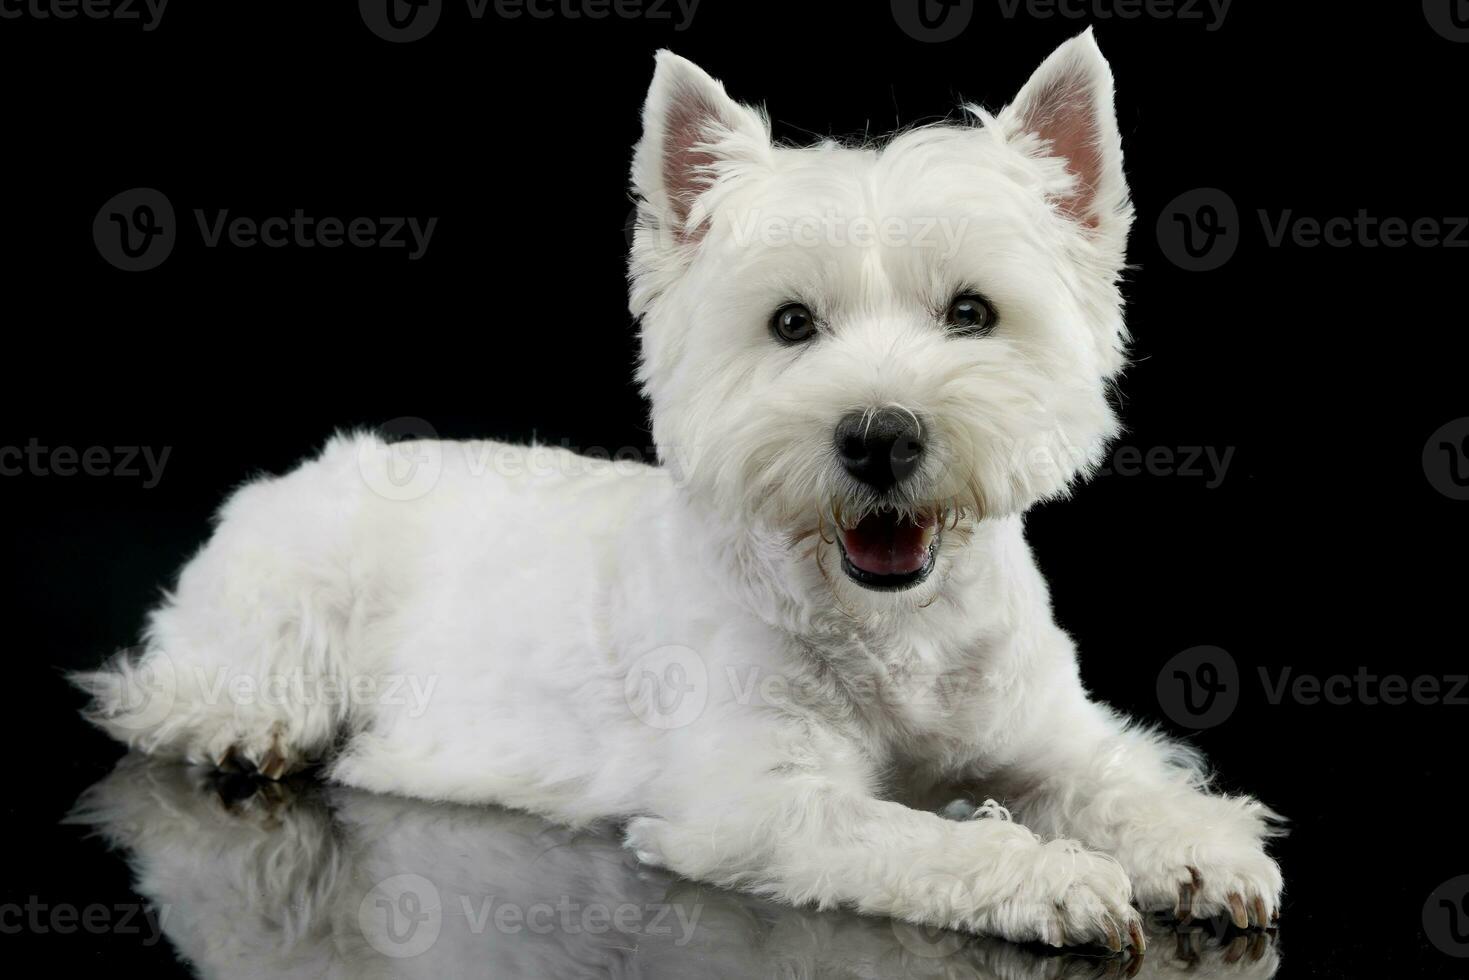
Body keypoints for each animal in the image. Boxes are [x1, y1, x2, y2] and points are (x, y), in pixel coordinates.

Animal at [74, 30, 1280, 952]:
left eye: (972, 313)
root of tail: (303, 466)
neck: (891, 626)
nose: (879, 437)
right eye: (790, 323)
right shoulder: (755, 797)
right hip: (284, 605)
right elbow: (915, 833)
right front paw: (1050, 877)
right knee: (180, 689)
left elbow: (1119, 776)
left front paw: (1202, 847)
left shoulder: (1045, 733)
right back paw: (248, 729)